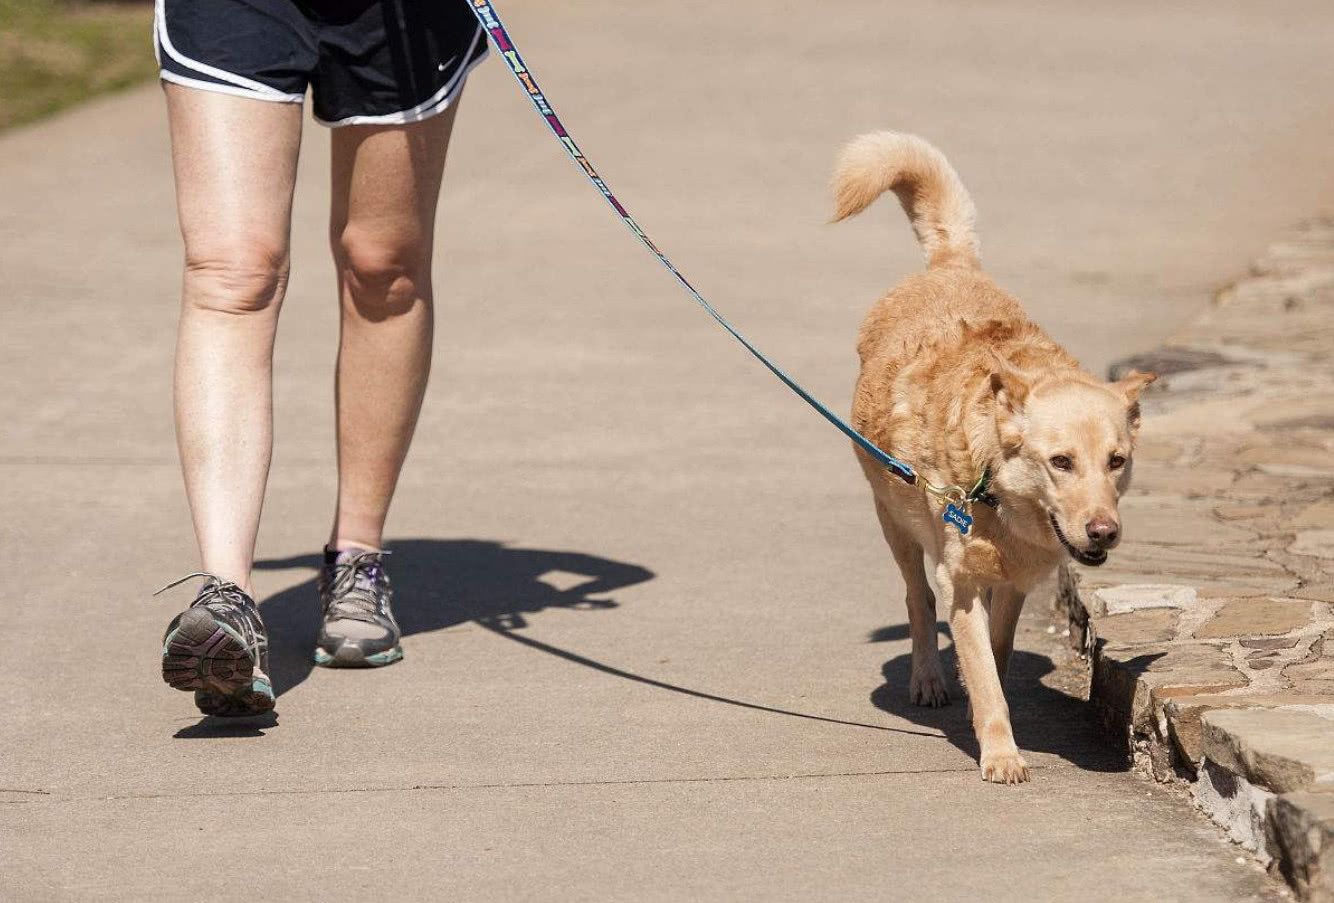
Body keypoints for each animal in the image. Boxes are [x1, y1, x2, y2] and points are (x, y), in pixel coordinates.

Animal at [837, 132, 1152, 784]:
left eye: (1116, 461)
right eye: (1060, 461)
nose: (1103, 532)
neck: (993, 492)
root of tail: (950, 265)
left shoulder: (1015, 584)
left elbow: (996, 656)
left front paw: (992, 711)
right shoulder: (958, 580)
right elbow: (978, 665)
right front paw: (1001, 752)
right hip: (895, 526)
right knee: (917, 601)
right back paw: (930, 678)